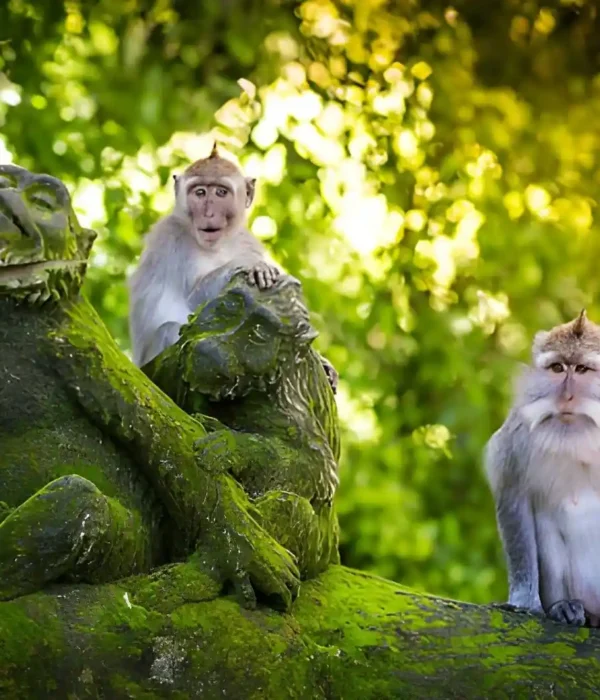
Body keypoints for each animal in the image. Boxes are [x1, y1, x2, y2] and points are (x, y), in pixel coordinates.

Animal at [128, 143, 338, 392]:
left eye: (221, 192)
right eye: (200, 192)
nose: (208, 213)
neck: (217, 244)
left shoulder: (247, 241)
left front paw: (323, 362)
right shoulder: (170, 238)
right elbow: (195, 301)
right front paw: (251, 265)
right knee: (169, 328)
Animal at [484, 309, 600, 628]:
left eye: (583, 369)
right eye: (558, 368)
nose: (566, 397)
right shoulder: (517, 438)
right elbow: (515, 499)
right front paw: (524, 602)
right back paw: (565, 607)